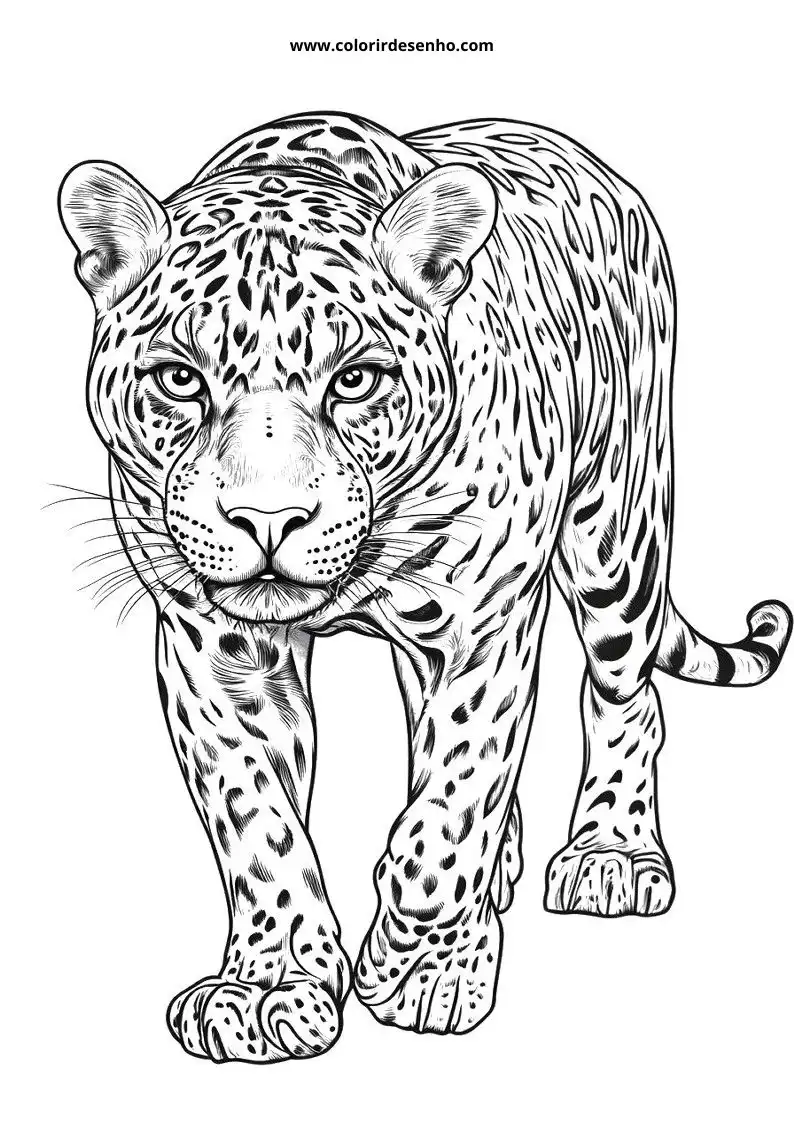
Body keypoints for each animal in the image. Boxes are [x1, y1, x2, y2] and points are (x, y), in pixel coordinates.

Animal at [59, 111, 791, 1063]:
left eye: (355, 380)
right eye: (181, 379)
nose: (268, 519)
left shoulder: (485, 623)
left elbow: (450, 807)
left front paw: (422, 968)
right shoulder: (216, 650)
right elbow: (258, 817)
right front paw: (270, 987)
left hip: (618, 538)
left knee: (625, 695)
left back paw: (611, 853)